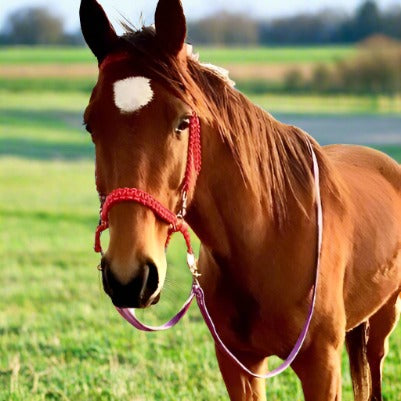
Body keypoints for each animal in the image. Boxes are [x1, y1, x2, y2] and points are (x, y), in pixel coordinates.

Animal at [79, 0, 400, 400]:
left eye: (183, 121)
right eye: (90, 124)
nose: (129, 276)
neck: (269, 235)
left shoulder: (322, 367)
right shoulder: (238, 364)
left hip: (384, 320)